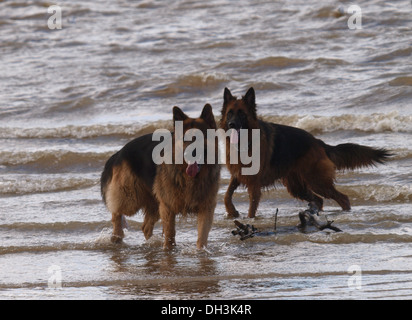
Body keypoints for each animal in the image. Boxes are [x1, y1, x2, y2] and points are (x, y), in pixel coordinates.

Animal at [101, 104, 220, 249]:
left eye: (200, 137)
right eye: (184, 139)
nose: (188, 154)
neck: (190, 177)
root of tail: (119, 153)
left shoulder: (206, 208)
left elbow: (202, 235)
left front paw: (201, 251)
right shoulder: (168, 207)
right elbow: (170, 234)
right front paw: (168, 250)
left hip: (154, 202)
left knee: (145, 227)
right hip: (131, 198)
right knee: (116, 212)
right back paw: (116, 236)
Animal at [220, 87, 392, 218]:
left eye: (242, 113)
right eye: (230, 113)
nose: (231, 124)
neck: (244, 142)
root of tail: (318, 142)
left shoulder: (254, 184)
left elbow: (251, 208)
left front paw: (248, 219)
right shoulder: (237, 175)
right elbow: (226, 195)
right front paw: (232, 212)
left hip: (316, 182)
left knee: (343, 198)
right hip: (298, 187)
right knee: (320, 200)